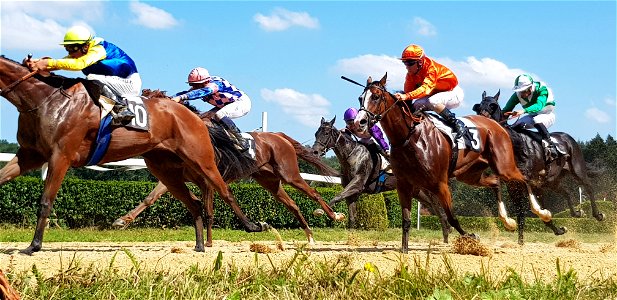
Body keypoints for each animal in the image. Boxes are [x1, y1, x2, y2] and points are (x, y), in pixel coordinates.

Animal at [0, 55, 270, 253]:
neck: (46, 99)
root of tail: (196, 118)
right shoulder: (31, 155)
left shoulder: (60, 156)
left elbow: (46, 200)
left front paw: (34, 246)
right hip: (165, 169)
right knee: (194, 202)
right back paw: (200, 246)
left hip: (201, 160)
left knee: (225, 191)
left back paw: (253, 226)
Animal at [112, 92, 344, 246]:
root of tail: (278, 135)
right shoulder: (178, 176)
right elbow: (151, 197)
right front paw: (122, 220)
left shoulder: (207, 178)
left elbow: (209, 209)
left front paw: (208, 243)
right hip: (269, 181)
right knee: (293, 205)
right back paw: (310, 235)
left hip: (290, 174)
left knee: (313, 193)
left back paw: (334, 216)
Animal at [310, 116, 450, 243]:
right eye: (316, 133)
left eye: (326, 133)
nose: (314, 152)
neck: (351, 156)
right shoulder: (352, 193)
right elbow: (352, 217)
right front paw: (351, 240)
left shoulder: (357, 184)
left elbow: (337, 196)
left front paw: (323, 211)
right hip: (418, 192)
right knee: (433, 206)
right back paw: (446, 234)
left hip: (427, 189)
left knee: (437, 207)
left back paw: (447, 232)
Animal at [354, 74, 552, 252]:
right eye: (360, 98)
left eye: (376, 96)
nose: (359, 122)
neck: (410, 137)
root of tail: (496, 124)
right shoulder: (404, 185)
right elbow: (406, 220)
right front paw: (404, 250)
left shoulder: (440, 184)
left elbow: (451, 217)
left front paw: (471, 237)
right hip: (470, 175)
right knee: (496, 183)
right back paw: (507, 220)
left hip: (505, 167)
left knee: (524, 180)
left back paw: (542, 212)